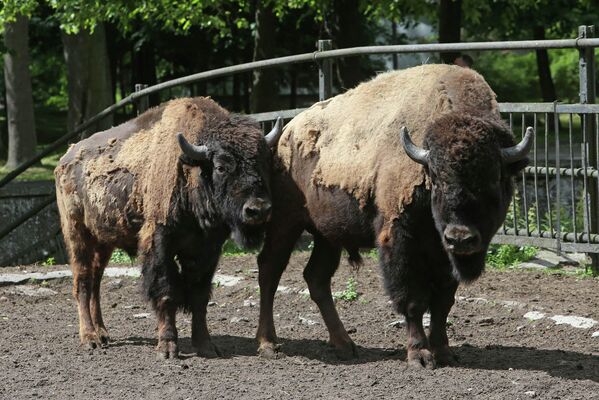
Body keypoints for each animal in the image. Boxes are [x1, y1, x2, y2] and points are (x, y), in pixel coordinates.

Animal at [54, 97, 284, 360]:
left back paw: (103, 333)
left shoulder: (207, 250)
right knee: (82, 281)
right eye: (221, 167)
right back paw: (90, 338)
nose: (258, 210)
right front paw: (167, 348)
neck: (192, 169)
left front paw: (206, 346)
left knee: (96, 282)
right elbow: (166, 292)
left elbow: (199, 296)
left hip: (104, 242)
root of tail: (65, 159)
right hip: (77, 234)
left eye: (265, 163)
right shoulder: (159, 243)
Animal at [255, 64, 532, 368]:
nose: (460, 237)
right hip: (284, 223)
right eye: (436, 178)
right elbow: (412, 300)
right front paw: (419, 355)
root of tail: (285, 133)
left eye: (494, 178)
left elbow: (443, 302)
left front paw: (444, 352)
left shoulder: (442, 253)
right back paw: (268, 344)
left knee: (316, 278)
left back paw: (345, 345)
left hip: (328, 235)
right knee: (269, 270)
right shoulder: (399, 240)